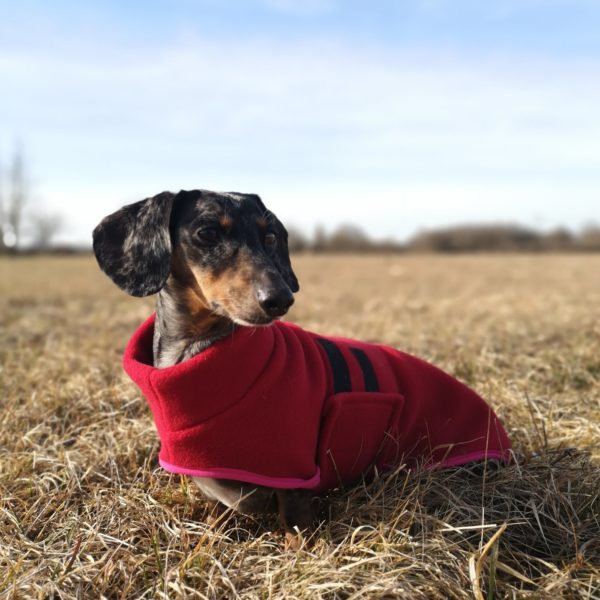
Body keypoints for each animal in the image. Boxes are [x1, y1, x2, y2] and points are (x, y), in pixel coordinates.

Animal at [94, 190, 510, 548]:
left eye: (270, 236)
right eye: (207, 232)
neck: (199, 355)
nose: (280, 299)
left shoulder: (294, 476)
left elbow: (295, 523)